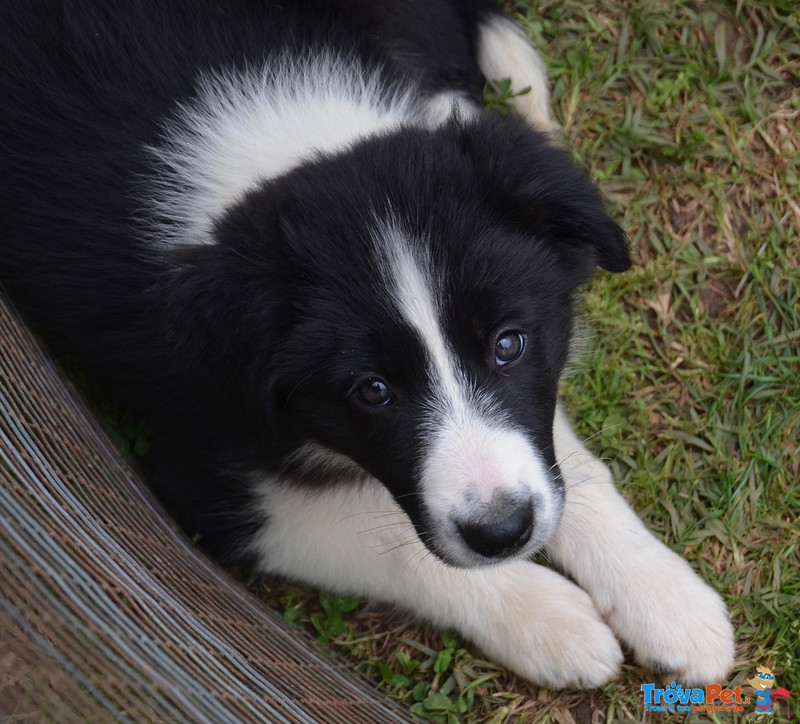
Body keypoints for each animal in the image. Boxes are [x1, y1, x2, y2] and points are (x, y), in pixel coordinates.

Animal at [0, 0, 736, 692]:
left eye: (509, 345)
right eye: (371, 391)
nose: (503, 533)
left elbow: (567, 461)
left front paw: (667, 600)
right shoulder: (202, 470)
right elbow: (390, 541)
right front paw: (553, 622)